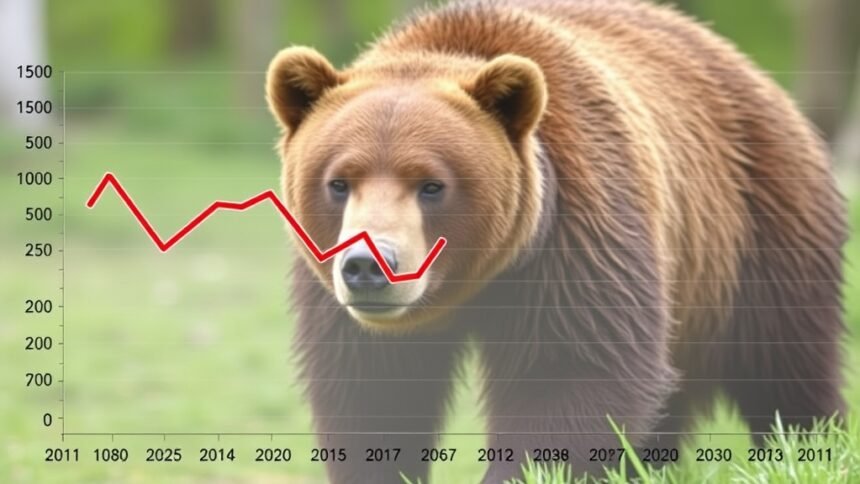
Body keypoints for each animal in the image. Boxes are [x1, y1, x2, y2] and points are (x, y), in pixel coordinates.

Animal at [265, 1, 847, 482]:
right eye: (339, 182)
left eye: (431, 185)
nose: (369, 265)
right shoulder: (337, 299)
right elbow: (374, 392)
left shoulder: (575, 237)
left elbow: (565, 376)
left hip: (758, 222)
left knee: (786, 364)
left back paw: (809, 447)